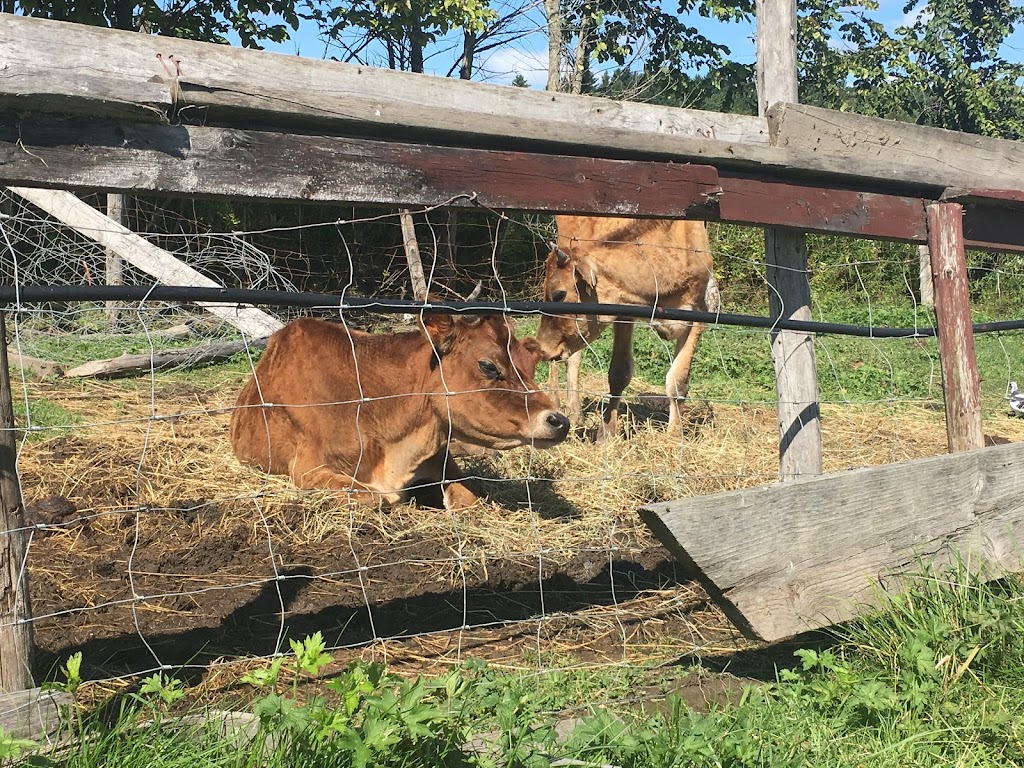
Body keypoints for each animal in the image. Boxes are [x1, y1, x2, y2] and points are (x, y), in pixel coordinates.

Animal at [228, 313, 573, 512]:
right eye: (488, 365)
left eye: (531, 367)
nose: (559, 421)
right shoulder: (307, 468)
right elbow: (373, 498)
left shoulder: (441, 460)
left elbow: (467, 499)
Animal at [536, 217, 712, 442]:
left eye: (559, 294)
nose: (542, 346)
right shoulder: (623, 312)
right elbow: (619, 373)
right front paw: (607, 433)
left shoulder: (699, 313)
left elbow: (678, 380)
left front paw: (675, 436)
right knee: (564, 361)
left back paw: (575, 413)